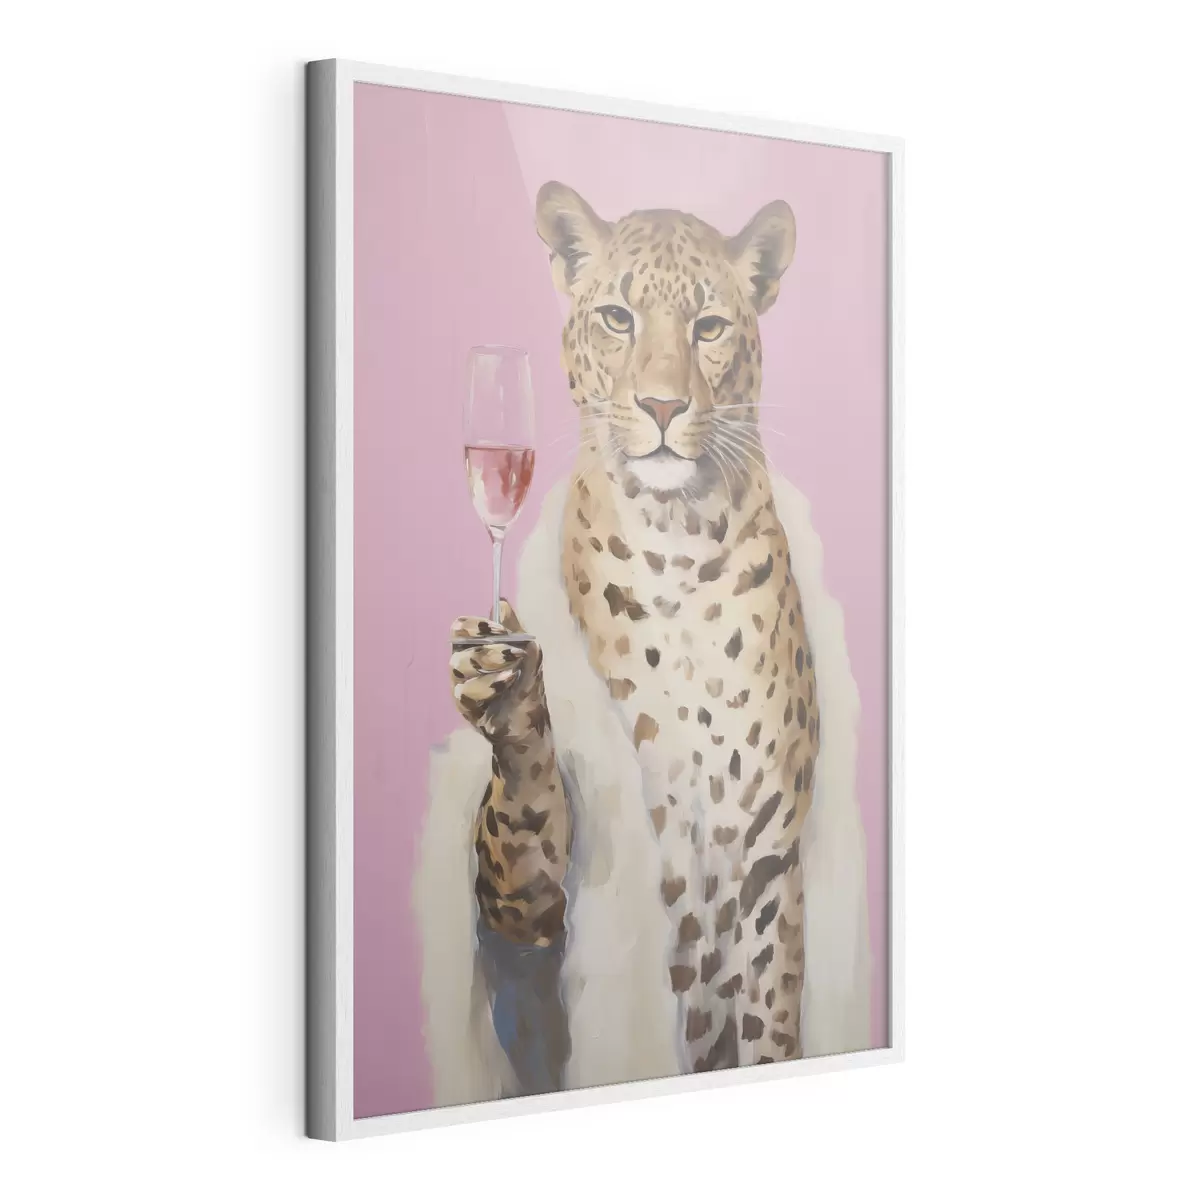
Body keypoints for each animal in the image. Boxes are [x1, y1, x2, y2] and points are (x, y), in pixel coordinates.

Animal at [449, 181, 820, 1075]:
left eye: (709, 327)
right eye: (617, 317)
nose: (661, 404)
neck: (676, 541)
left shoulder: (765, 852)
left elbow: (767, 1021)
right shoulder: (535, 898)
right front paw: (504, 691)